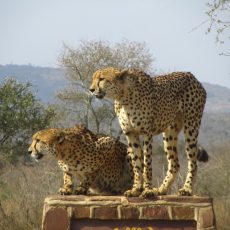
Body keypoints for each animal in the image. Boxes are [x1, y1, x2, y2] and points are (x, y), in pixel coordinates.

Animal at [90, 67, 208, 198]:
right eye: (93, 78)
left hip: (191, 126)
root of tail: (191, 75)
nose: (91, 89)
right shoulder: (130, 134)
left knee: (193, 162)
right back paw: (162, 189)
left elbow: (147, 164)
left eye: (102, 79)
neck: (123, 96)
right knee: (174, 163)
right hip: (169, 132)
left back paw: (187, 189)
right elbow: (136, 164)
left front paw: (147, 190)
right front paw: (136, 189)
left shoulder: (147, 133)